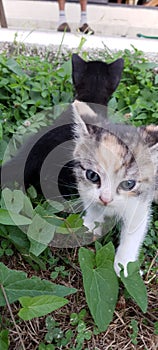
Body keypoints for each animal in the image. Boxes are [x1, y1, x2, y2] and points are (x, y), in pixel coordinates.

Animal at [72, 100, 157, 276]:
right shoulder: (85, 188)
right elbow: (92, 205)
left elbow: (133, 232)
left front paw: (124, 266)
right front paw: (90, 224)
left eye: (128, 184)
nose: (106, 199)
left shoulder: (139, 203)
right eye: (92, 175)